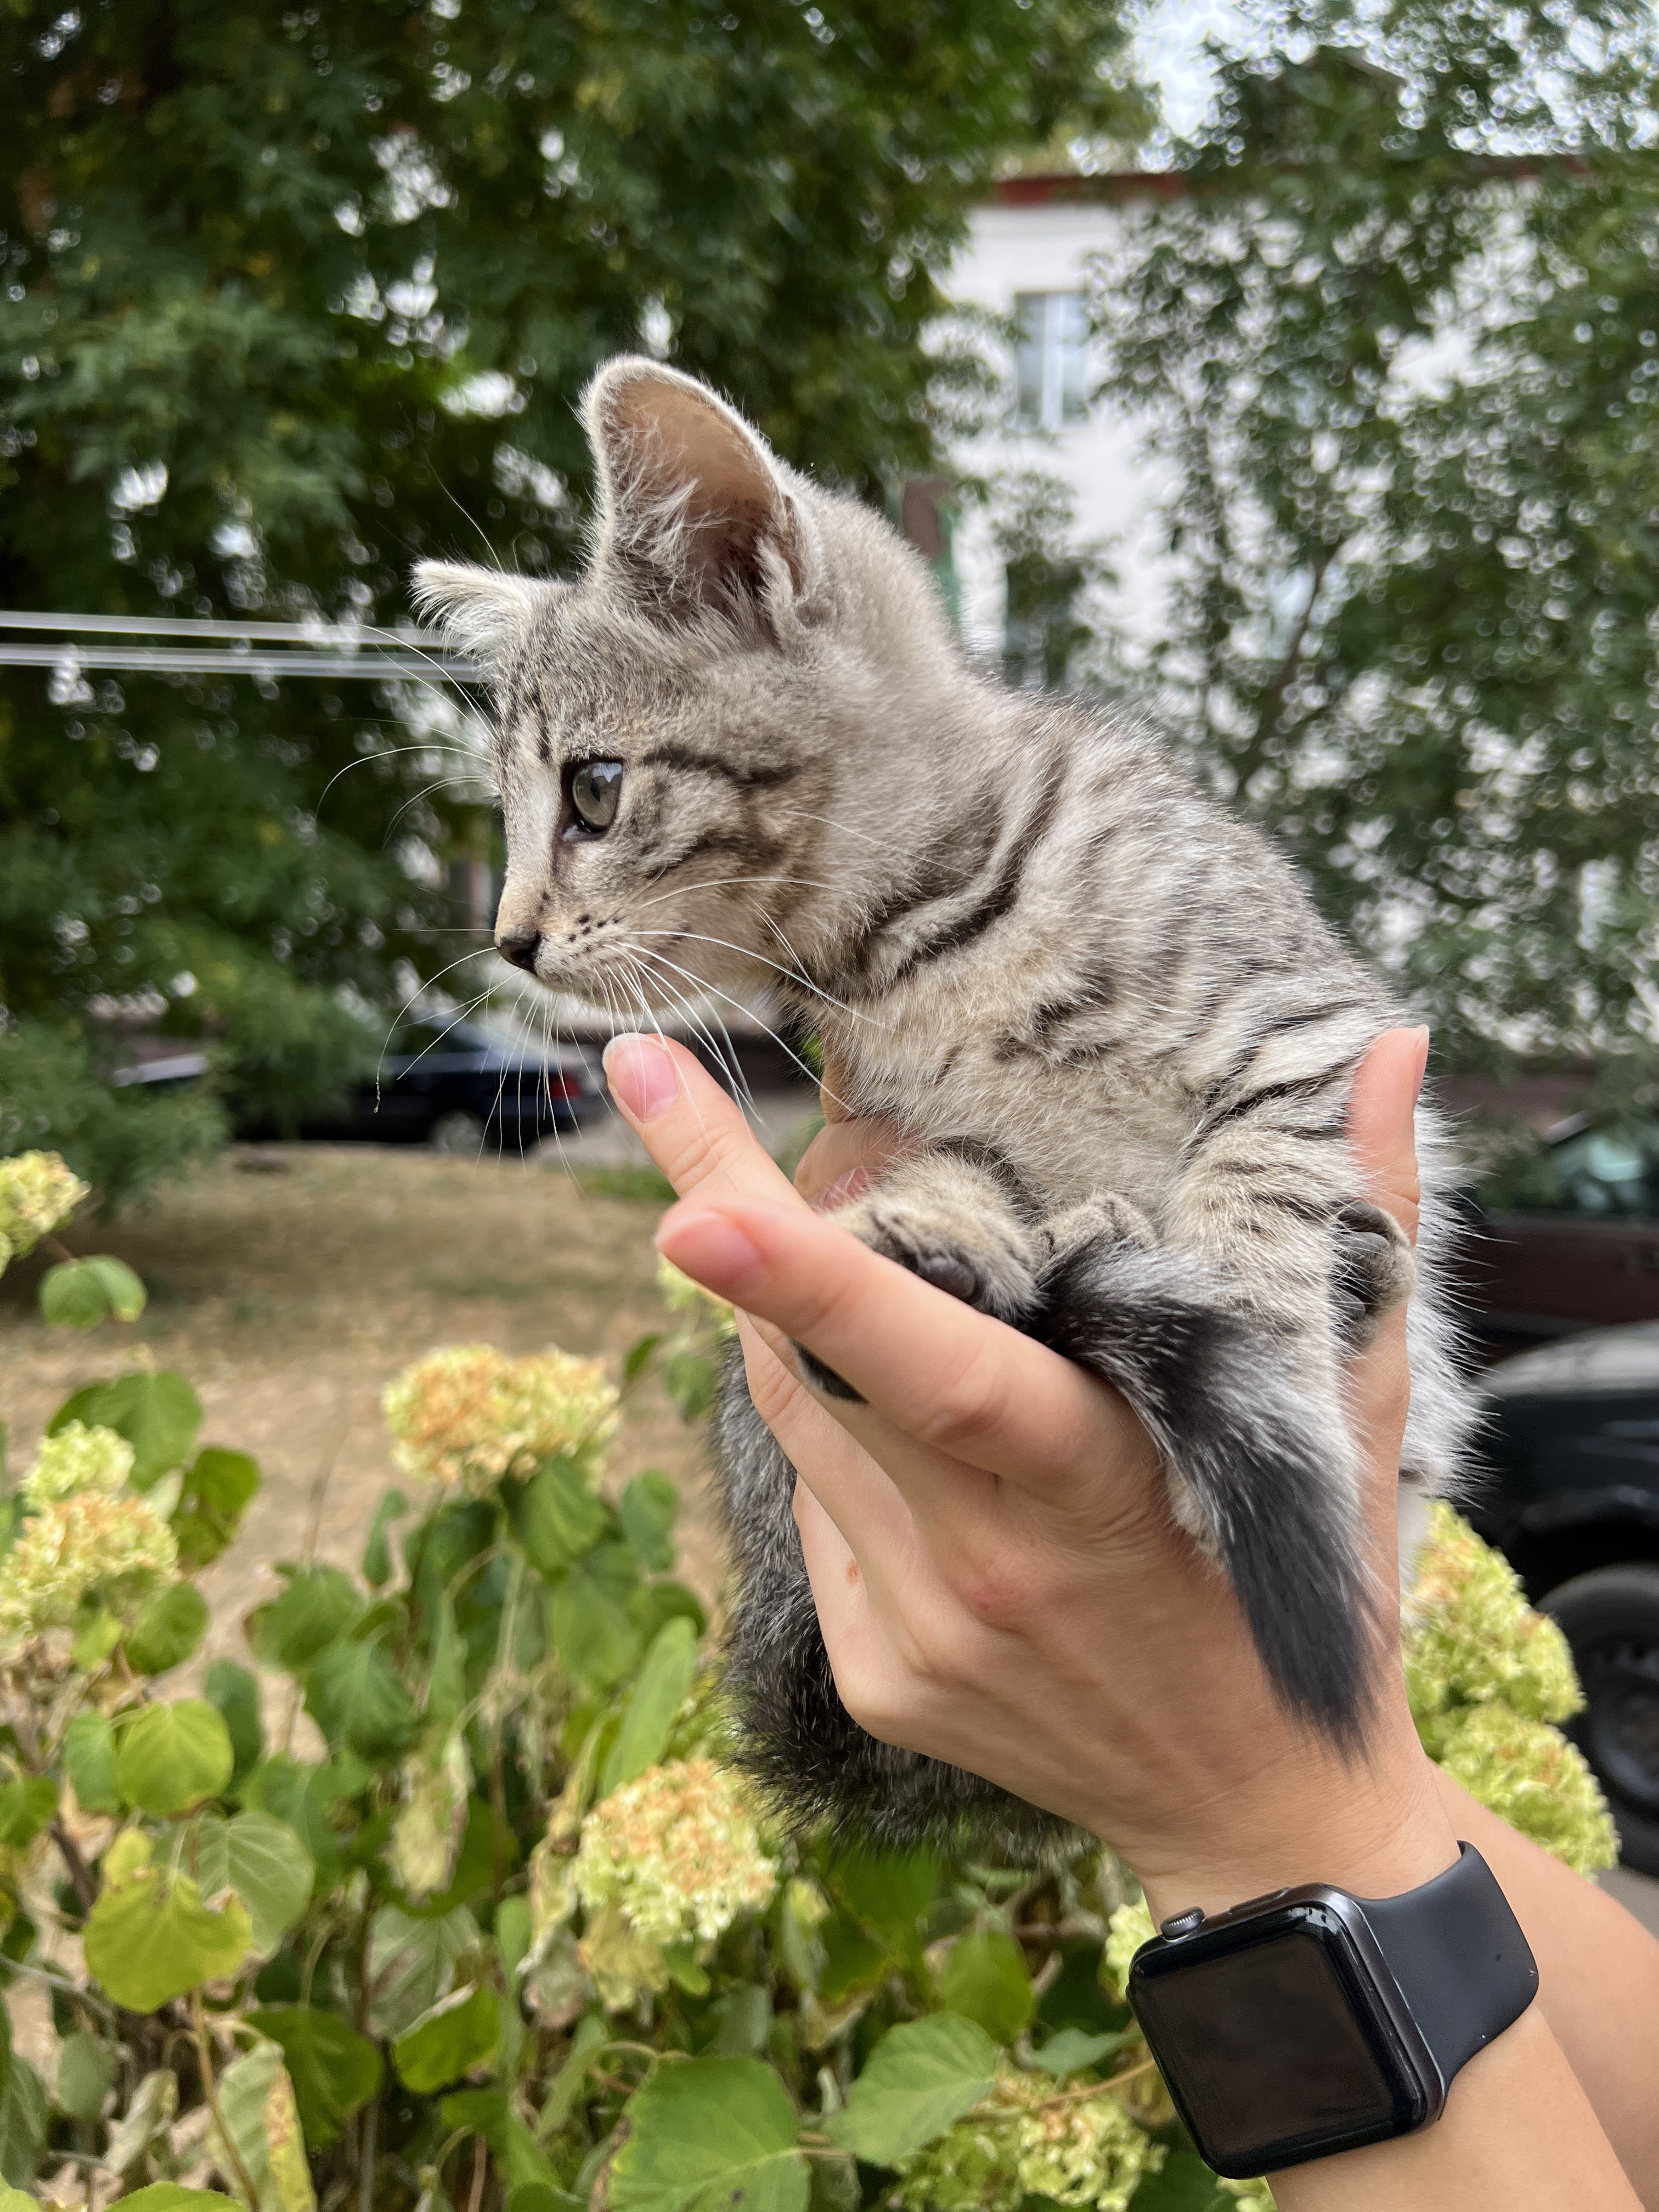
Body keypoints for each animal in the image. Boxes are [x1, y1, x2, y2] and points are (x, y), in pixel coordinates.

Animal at [414, 355, 1477, 1856]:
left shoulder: (1312, 1030)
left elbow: (1256, 1193)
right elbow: (983, 1169)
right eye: (502, 821)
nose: (507, 941)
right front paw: (974, 1230)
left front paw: (1270, 1343)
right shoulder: (925, 1122)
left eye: (594, 792)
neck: (928, 942)